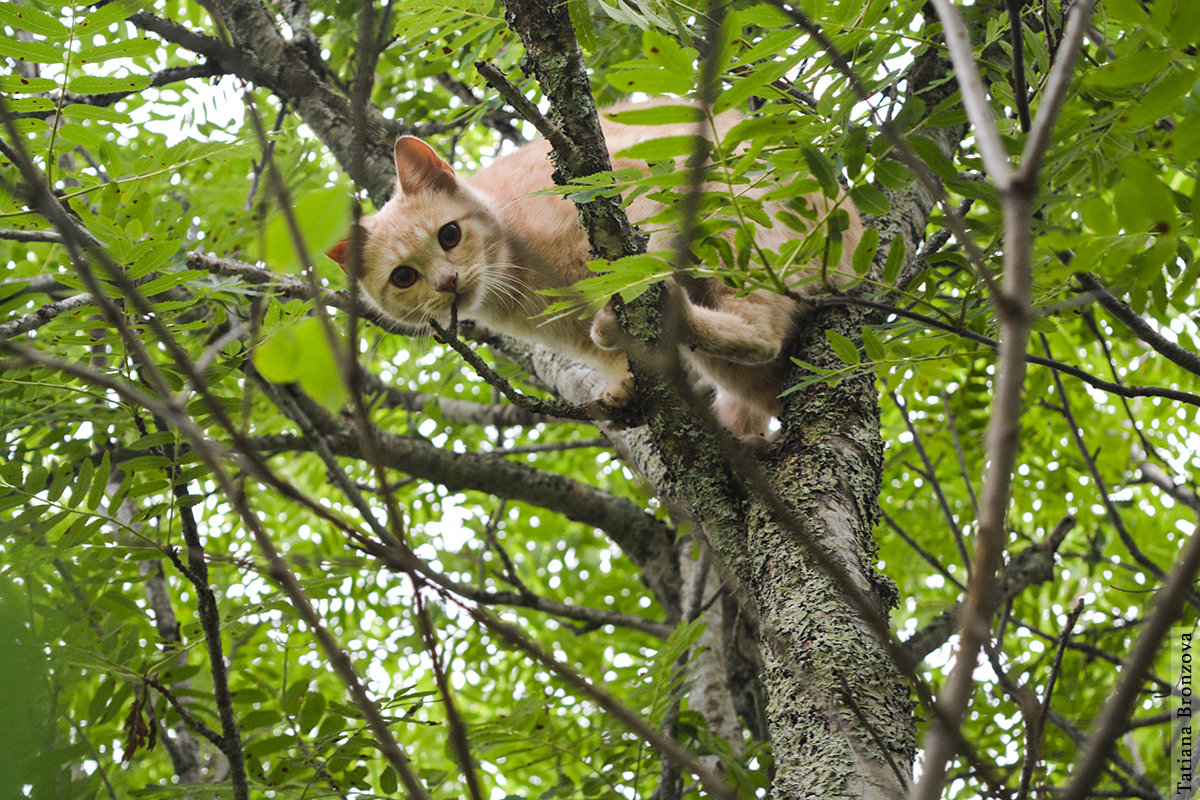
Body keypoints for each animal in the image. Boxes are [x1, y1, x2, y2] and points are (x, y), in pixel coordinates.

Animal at [328, 101, 864, 438]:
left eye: (449, 235)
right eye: (404, 277)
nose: (447, 281)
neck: (523, 279)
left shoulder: (636, 189)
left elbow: (642, 251)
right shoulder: (568, 332)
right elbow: (610, 357)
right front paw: (623, 386)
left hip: (737, 224)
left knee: (761, 332)